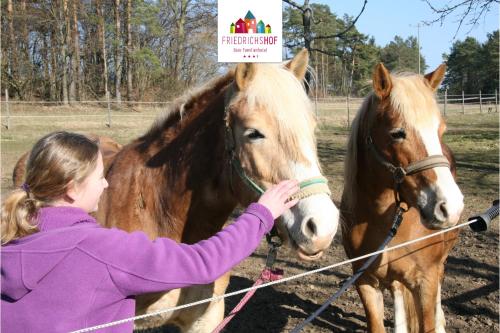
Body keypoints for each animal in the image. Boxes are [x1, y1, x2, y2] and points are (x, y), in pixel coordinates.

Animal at [340, 63, 464, 332]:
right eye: (397, 133)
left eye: (440, 130)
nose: (450, 206)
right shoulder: (365, 281)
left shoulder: (426, 281)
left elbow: (428, 321)